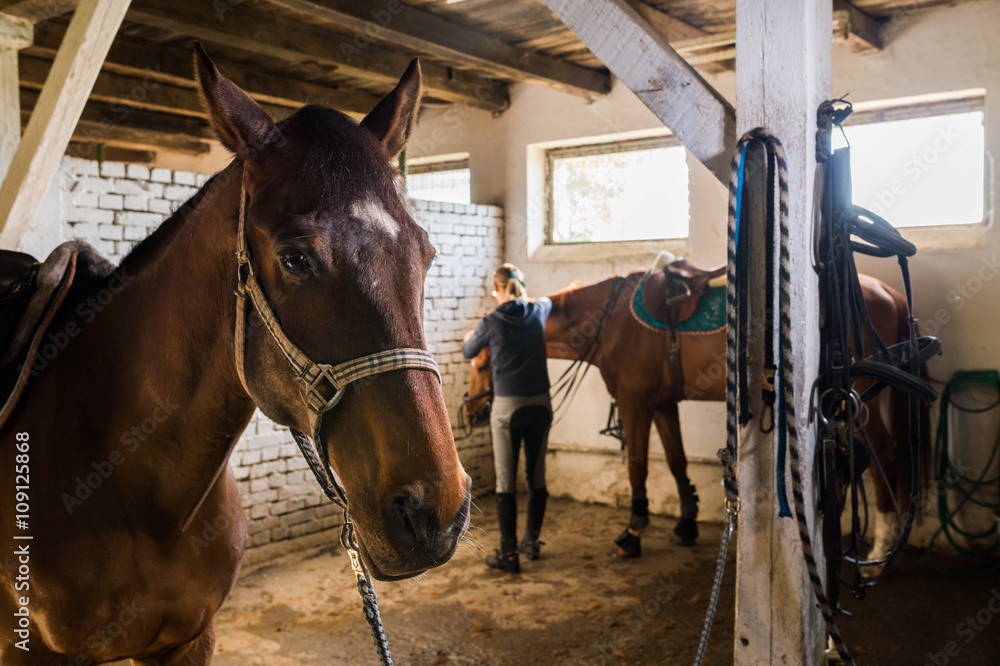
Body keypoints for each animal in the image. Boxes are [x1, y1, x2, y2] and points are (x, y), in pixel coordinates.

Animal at [468, 266, 924, 563]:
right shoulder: (663, 404)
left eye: (479, 363)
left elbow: (638, 465)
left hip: (857, 397)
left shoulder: (635, 404)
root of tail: (887, 292)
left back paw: (881, 544)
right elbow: (676, 461)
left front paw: (632, 532)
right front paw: (686, 523)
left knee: (883, 456)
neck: (610, 323)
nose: (472, 411)